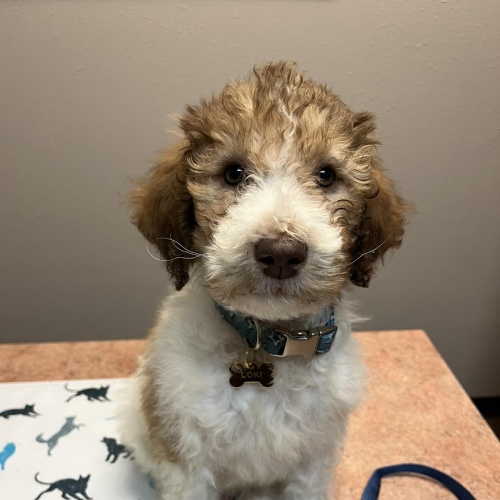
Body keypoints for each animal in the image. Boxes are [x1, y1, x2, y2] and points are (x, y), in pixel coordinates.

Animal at [119, 62, 408, 500]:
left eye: (326, 175)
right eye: (234, 173)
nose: (282, 253)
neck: (270, 340)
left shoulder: (312, 459)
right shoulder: (187, 458)